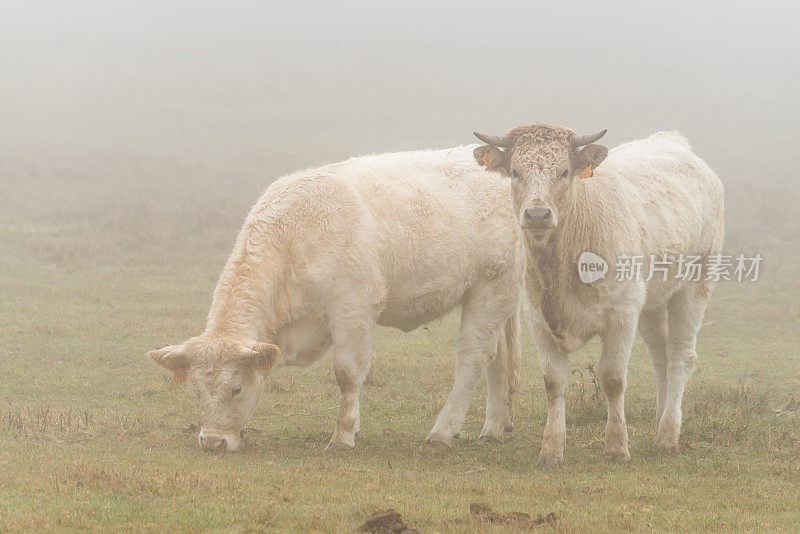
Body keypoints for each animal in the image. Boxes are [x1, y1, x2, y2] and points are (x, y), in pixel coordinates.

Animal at [148, 147, 524, 452]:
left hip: (493, 286)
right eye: (195, 391)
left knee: (473, 359)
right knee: (497, 358)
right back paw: (494, 427)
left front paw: (343, 436)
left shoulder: (352, 307)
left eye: (236, 389)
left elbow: (347, 373)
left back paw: (442, 432)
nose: (212, 442)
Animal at [476, 124, 724, 464]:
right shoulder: (537, 317)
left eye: (565, 171)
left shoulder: (621, 314)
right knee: (661, 355)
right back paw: (660, 423)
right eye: (515, 172)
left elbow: (612, 378)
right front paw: (551, 449)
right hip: (650, 301)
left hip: (695, 283)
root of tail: (672, 140)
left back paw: (668, 435)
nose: (537, 215)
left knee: (681, 355)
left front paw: (617, 447)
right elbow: (553, 381)